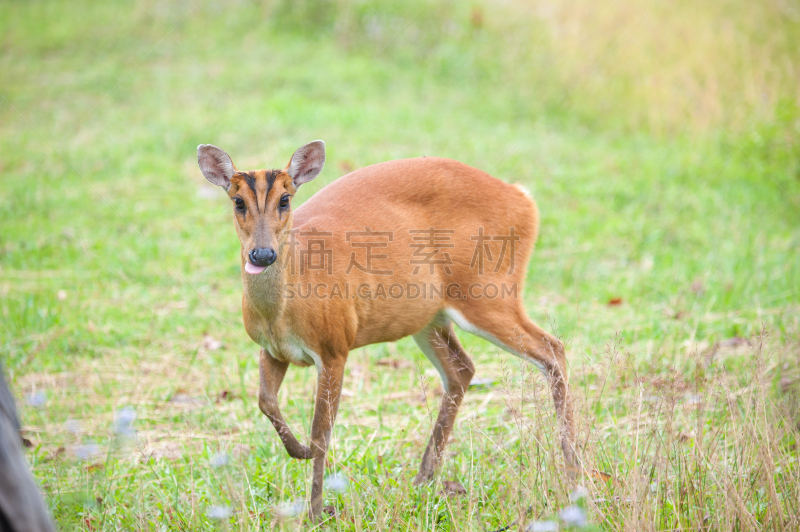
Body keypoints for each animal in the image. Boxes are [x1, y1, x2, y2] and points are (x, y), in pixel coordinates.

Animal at [198, 140, 576, 520]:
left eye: (285, 199)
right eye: (238, 201)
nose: (262, 254)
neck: (285, 307)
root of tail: (523, 198)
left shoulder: (335, 346)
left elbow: (321, 432)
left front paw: (317, 511)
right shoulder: (271, 349)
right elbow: (266, 402)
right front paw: (298, 451)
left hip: (488, 291)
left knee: (552, 349)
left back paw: (572, 474)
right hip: (427, 317)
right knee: (462, 369)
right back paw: (424, 479)